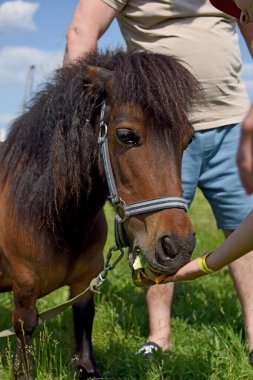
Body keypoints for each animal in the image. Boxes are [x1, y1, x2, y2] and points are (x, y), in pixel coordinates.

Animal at [0, 49, 202, 378]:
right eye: (126, 135)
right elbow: (24, 337)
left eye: (188, 139)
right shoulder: (24, 294)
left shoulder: (84, 286)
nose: (178, 246)